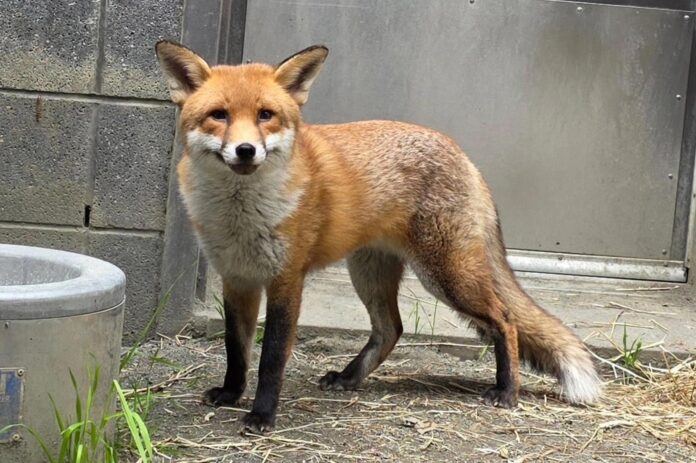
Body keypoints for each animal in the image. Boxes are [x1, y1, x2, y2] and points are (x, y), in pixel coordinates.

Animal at [155, 41, 602, 433]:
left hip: (446, 276)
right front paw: (231, 394)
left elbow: (270, 360)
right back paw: (349, 378)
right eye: (219, 115)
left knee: (504, 319)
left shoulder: (287, 281)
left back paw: (507, 391)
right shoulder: (237, 279)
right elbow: (236, 349)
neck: (240, 217)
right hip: (369, 273)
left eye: (266, 115)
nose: (246, 150)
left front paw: (262, 415)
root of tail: (463, 154)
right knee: (391, 329)